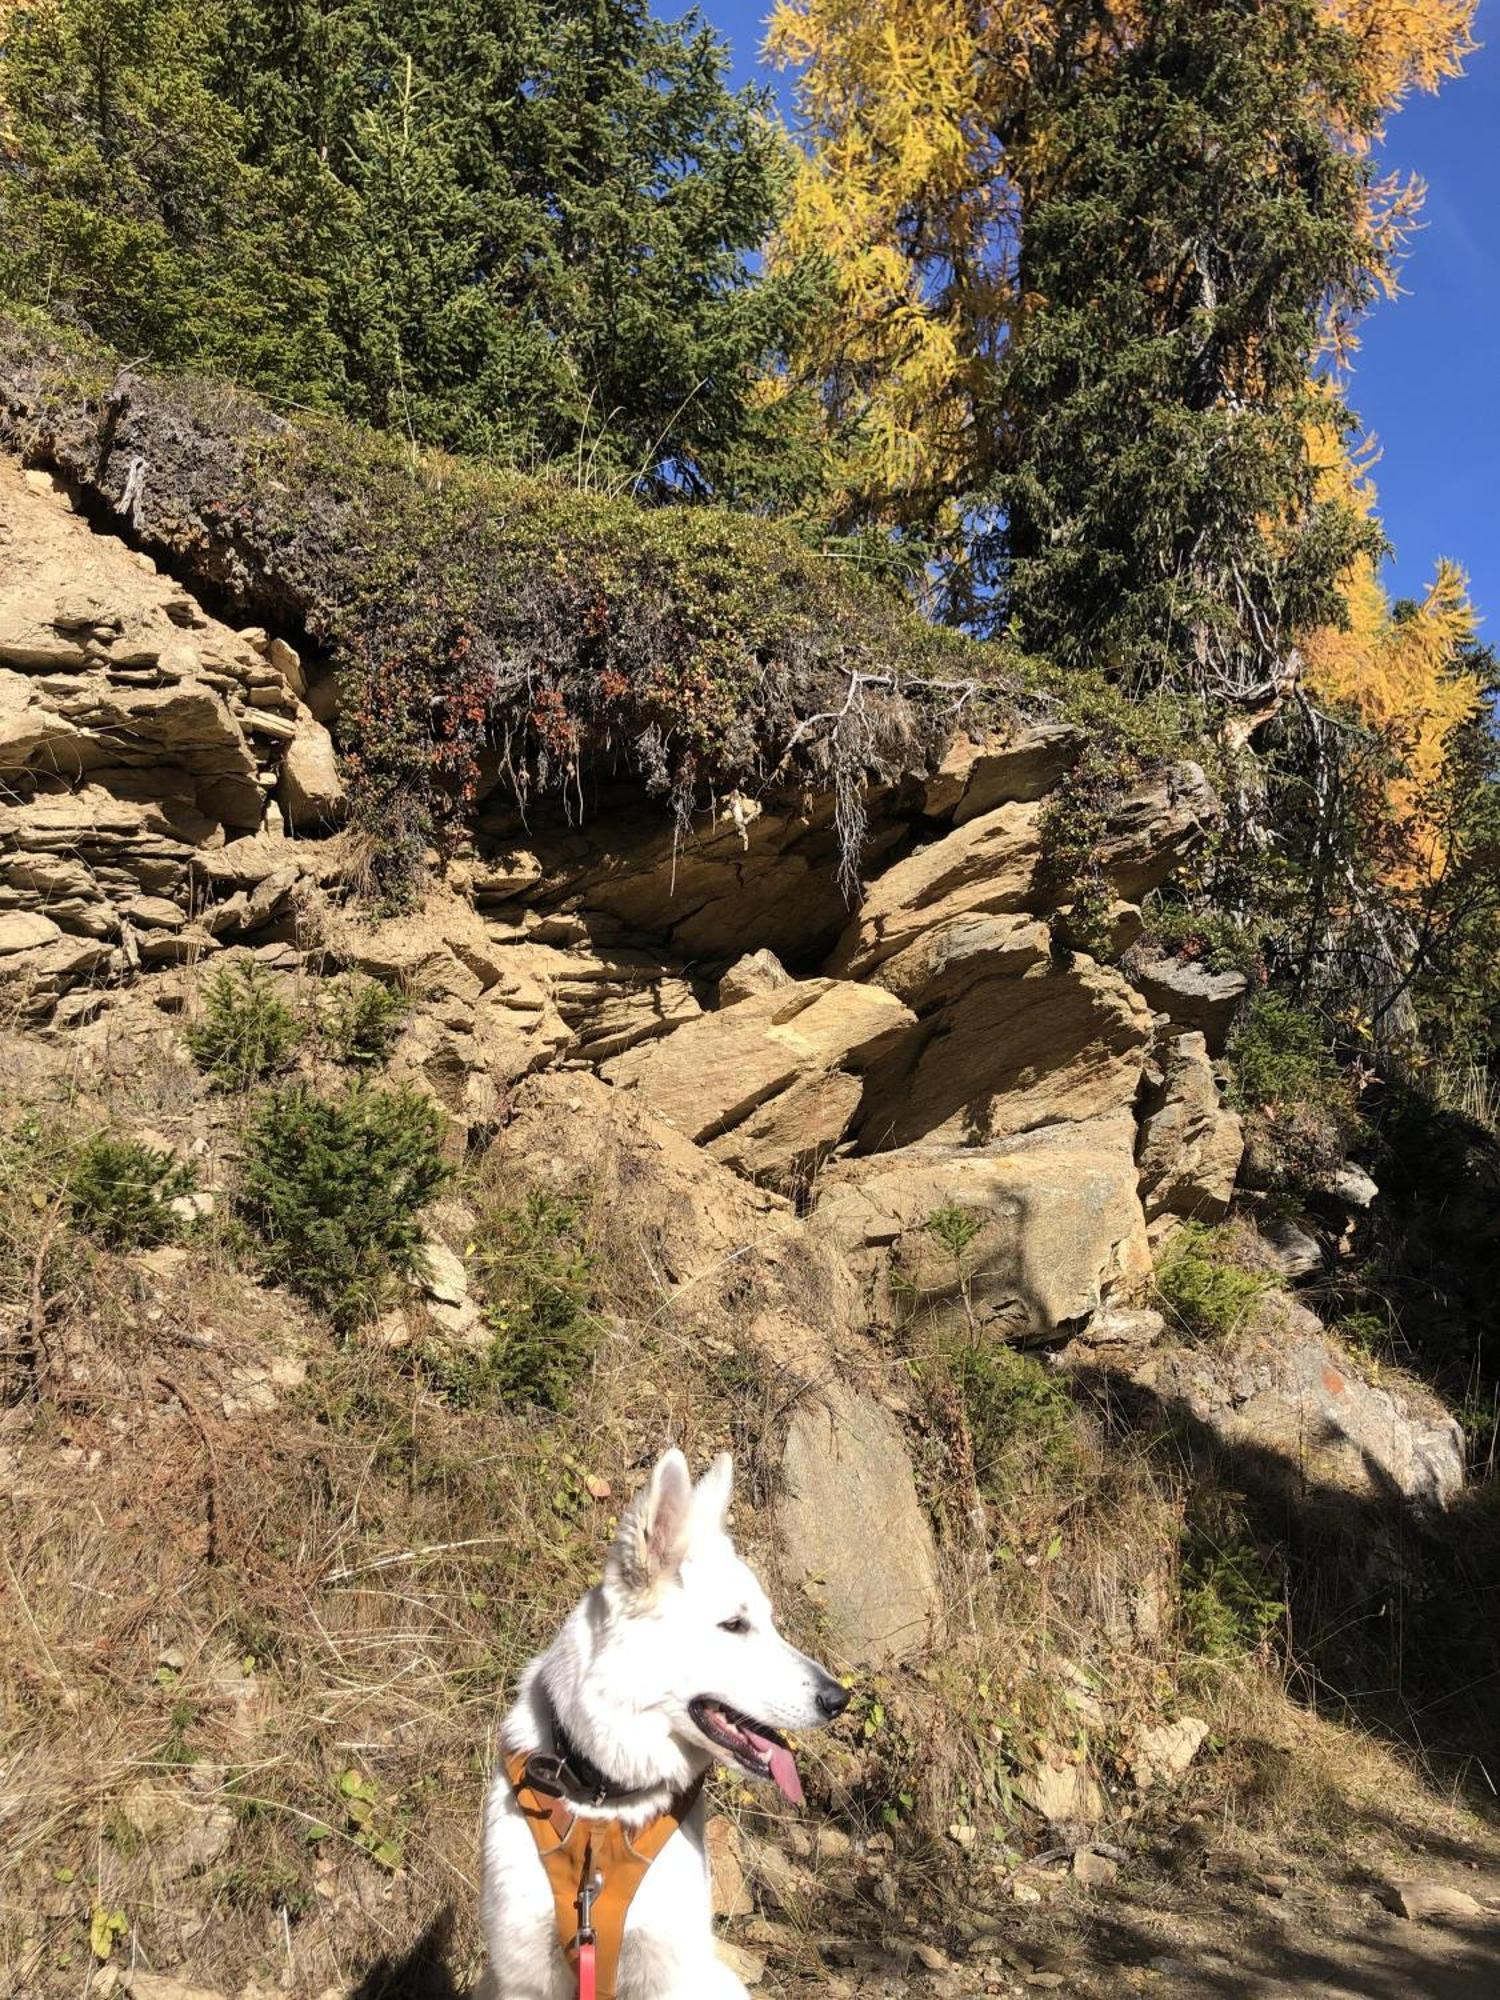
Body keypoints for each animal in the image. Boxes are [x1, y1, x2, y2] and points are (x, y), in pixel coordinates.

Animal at [484, 1456, 852, 2000]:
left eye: (768, 1622)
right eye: (734, 1625)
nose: (838, 1700)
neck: (602, 1806)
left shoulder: (666, 1971)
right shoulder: (522, 1975)